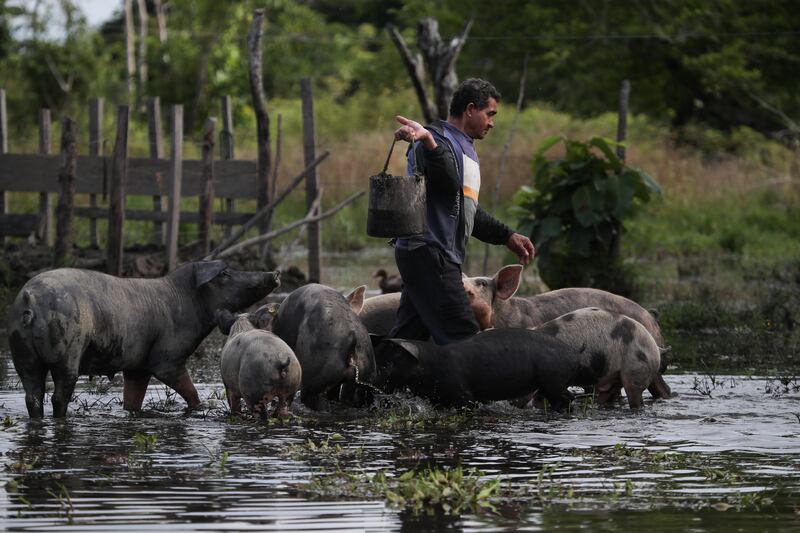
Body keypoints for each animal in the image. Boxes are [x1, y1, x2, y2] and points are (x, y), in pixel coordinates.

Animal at [6, 260, 280, 418]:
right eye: (224, 273)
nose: (276, 272)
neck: (186, 303)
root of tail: (30, 299)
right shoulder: (166, 357)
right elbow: (186, 387)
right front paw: (200, 409)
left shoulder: (137, 367)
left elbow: (133, 400)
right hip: (68, 351)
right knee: (58, 395)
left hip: (23, 356)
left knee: (32, 396)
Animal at [372, 328, 584, 408]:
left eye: (391, 363)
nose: (374, 381)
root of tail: (575, 352)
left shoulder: (463, 393)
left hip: (553, 381)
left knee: (568, 398)